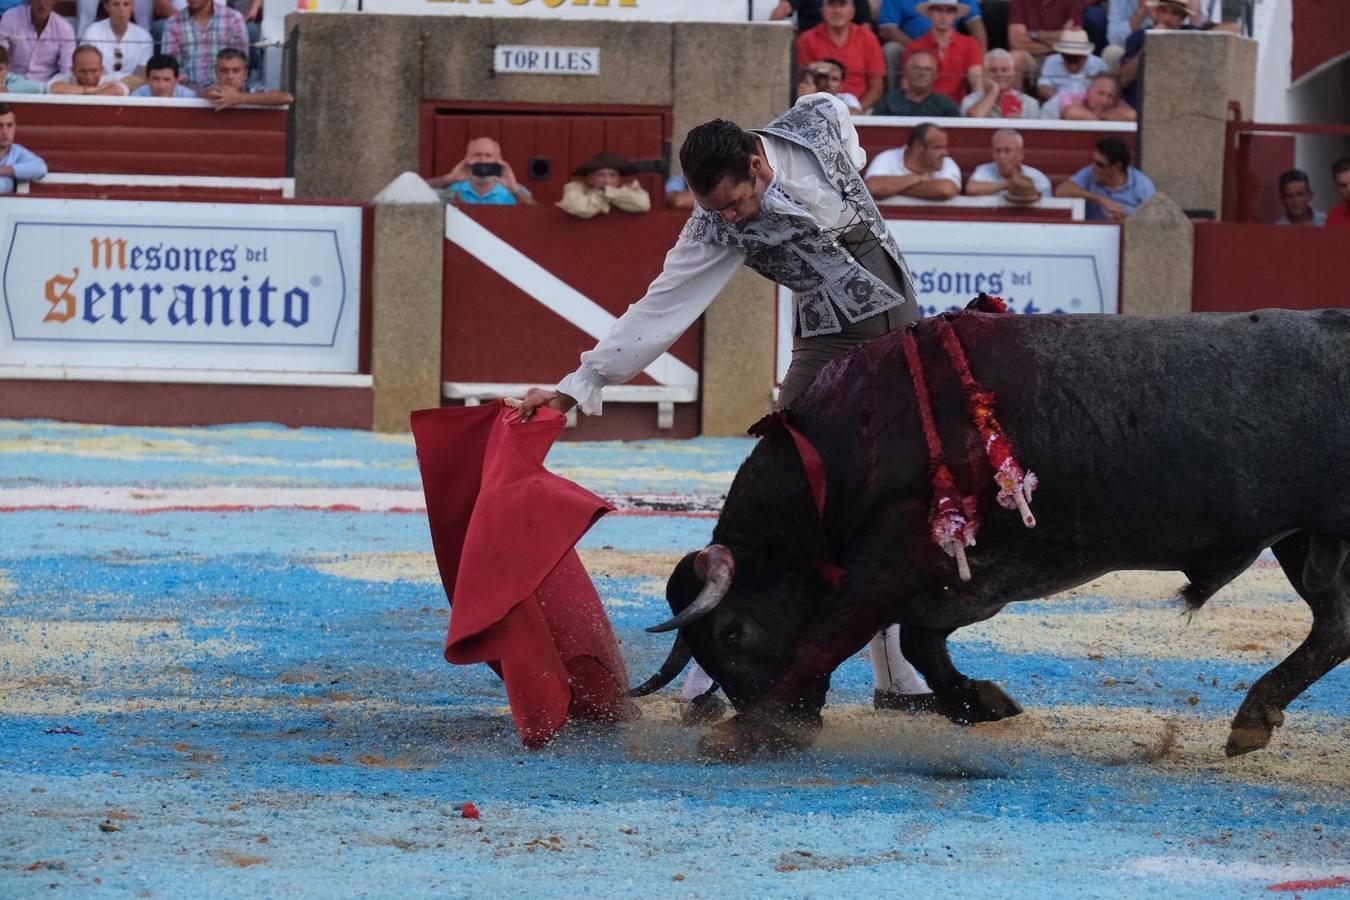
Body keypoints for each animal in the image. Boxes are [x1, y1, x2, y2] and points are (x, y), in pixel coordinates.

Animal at [631, 307, 1350, 761]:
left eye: (731, 633)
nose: (799, 724)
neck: (851, 442)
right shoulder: (962, 575)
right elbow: (919, 641)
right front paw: (979, 701)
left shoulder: (893, 559)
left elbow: (825, 637)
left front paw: (739, 735)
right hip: (1302, 540)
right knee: (1333, 628)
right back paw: (1253, 719)